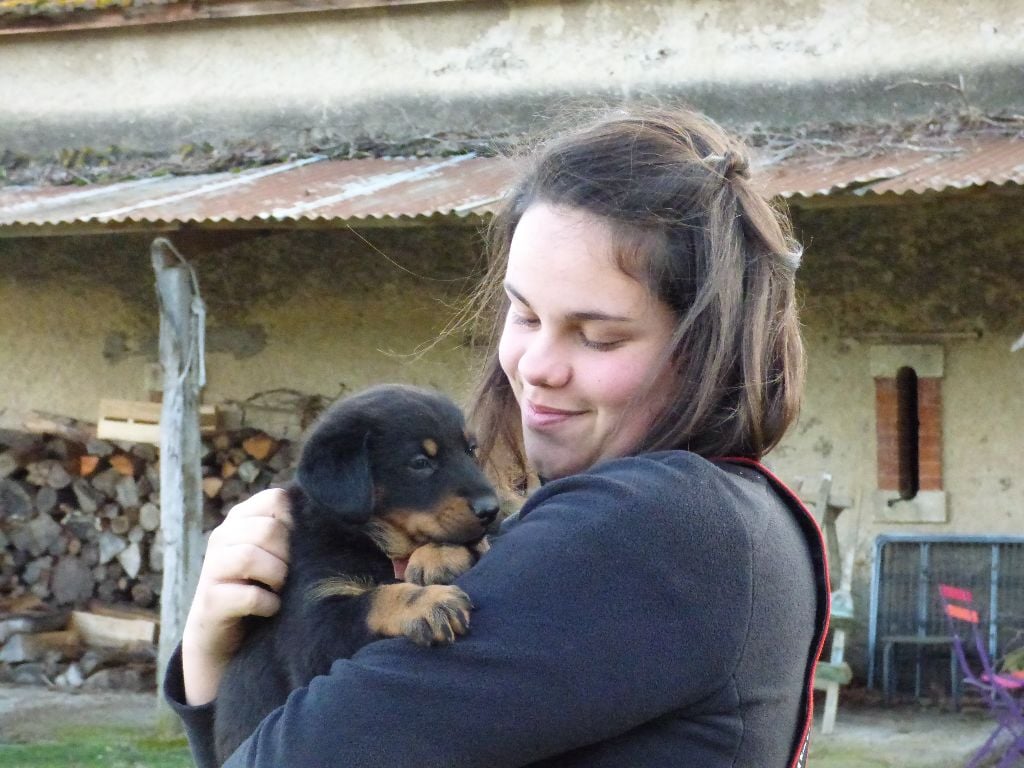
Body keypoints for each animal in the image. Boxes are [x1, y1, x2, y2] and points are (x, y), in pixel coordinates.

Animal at [214, 385, 501, 765]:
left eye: (471, 450)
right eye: (420, 462)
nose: (492, 510)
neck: (371, 541)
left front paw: (439, 555)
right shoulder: (314, 629)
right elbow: (375, 597)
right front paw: (428, 603)